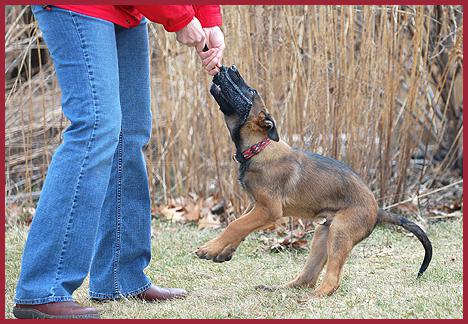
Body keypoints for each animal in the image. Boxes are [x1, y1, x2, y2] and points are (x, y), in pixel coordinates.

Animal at [196, 65, 434, 296]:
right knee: (307, 278)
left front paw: (209, 248)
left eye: (251, 91)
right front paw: (224, 251)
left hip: (340, 231)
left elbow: (235, 225)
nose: (231, 67)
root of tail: (378, 210)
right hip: (323, 234)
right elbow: (242, 225)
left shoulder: (269, 210)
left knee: (332, 281)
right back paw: (277, 290)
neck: (259, 148)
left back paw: (311, 298)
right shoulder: (257, 206)